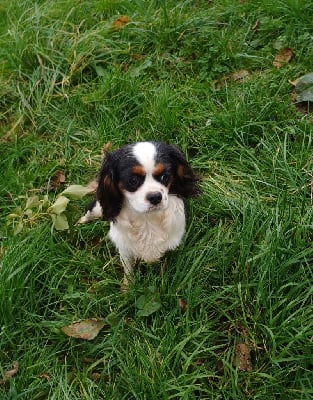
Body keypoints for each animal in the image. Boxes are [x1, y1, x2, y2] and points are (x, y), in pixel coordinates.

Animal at [79, 141, 199, 284]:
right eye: (133, 181)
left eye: (164, 176)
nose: (155, 197)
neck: (147, 218)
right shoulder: (125, 248)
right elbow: (128, 269)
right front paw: (128, 286)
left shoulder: (171, 246)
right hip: (97, 208)